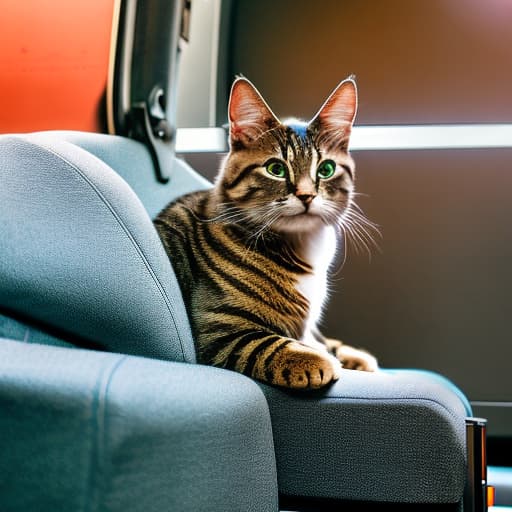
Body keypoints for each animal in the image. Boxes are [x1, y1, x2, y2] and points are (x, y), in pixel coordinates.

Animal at [154, 75, 378, 388]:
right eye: (276, 169)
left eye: (326, 169)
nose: (307, 195)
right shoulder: (218, 330)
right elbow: (267, 343)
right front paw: (316, 358)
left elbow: (320, 338)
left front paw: (348, 354)